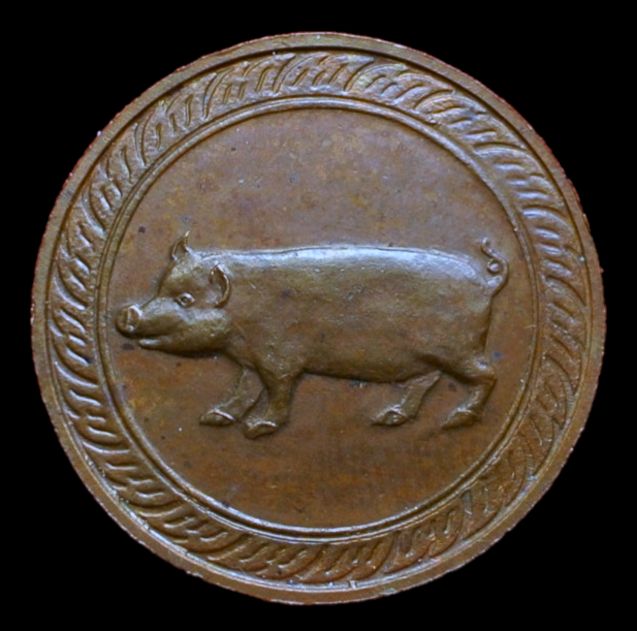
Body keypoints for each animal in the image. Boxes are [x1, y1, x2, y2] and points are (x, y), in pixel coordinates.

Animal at [116, 234, 508, 438]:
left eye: (184, 299)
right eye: (159, 288)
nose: (128, 313)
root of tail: (487, 283)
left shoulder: (279, 358)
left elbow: (278, 391)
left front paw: (258, 428)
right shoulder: (249, 361)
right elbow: (244, 390)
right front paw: (215, 417)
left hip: (459, 349)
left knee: (488, 375)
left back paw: (457, 419)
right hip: (426, 358)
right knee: (423, 383)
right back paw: (389, 417)